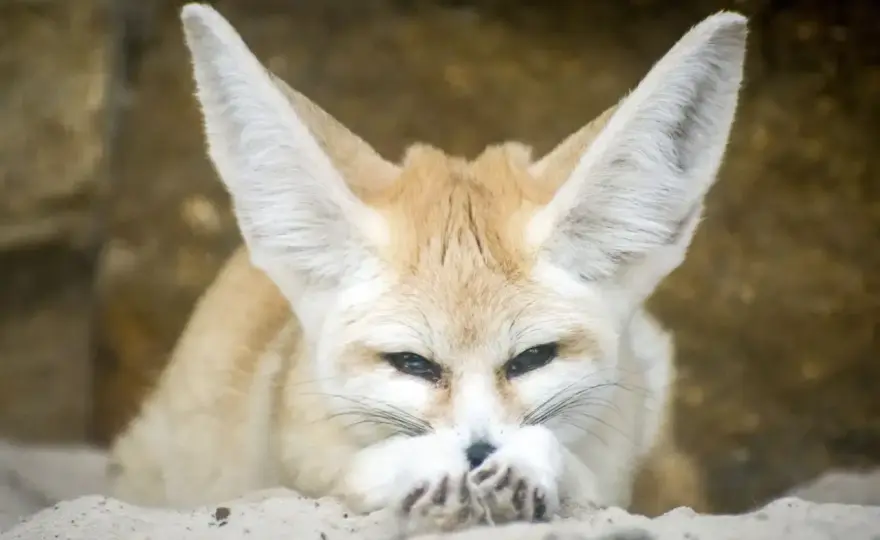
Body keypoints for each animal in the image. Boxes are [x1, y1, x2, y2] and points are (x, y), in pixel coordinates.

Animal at [108, 2, 746, 532]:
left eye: (532, 358)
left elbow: (578, 470)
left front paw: (529, 467)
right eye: (412, 363)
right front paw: (420, 467)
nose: (479, 455)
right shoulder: (294, 464)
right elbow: (355, 470)